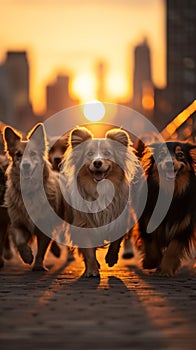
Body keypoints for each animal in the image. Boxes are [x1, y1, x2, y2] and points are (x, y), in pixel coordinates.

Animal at [3, 123, 65, 270]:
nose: (25, 165)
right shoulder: (18, 223)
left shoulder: (45, 225)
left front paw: (38, 265)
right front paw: (26, 256)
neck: (30, 190)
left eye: (33, 154)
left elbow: (42, 248)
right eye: (18, 155)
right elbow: (20, 241)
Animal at [62, 127, 139, 278]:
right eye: (90, 154)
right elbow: (89, 252)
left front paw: (111, 258)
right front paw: (92, 270)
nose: (97, 162)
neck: (100, 190)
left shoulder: (119, 218)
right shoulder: (83, 224)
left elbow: (116, 242)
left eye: (107, 153)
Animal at [136, 140, 196, 276]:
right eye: (162, 154)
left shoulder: (182, 226)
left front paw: (166, 270)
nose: (170, 163)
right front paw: (150, 263)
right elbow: (151, 245)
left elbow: (172, 250)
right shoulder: (146, 220)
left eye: (180, 155)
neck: (170, 191)